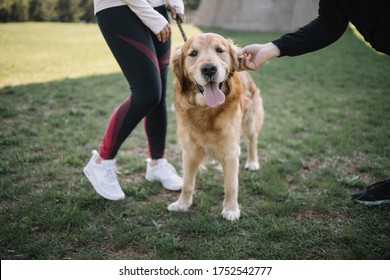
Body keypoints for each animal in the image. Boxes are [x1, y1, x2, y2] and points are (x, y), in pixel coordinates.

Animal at [168, 32, 266, 221]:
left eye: (220, 50)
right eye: (193, 53)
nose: (208, 69)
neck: (206, 109)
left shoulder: (230, 151)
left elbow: (231, 185)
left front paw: (231, 210)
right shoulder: (190, 150)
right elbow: (187, 183)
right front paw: (182, 204)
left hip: (250, 123)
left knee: (253, 141)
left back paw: (252, 162)